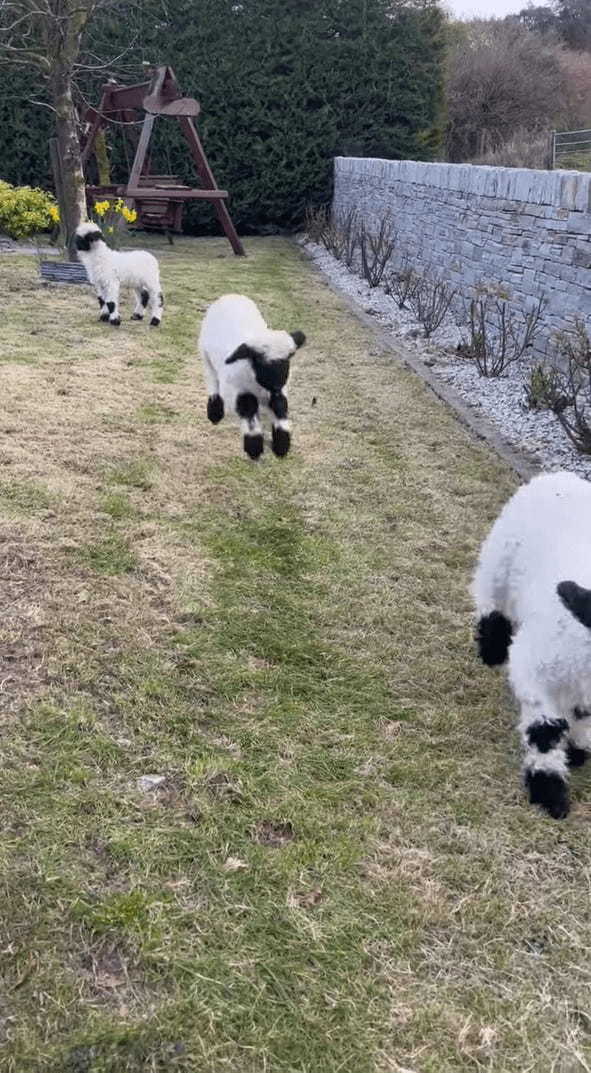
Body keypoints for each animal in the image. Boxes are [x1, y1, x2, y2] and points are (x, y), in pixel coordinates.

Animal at [201, 294, 306, 461]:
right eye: (260, 361)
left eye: (289, 358)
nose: (277, 383)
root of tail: (231, 295)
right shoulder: (235, 388)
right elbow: (248, 408)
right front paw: (254, 446)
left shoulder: (279, 391)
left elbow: (280, 406)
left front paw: (281, 444)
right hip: (205, 355)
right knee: (212, 381)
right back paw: (215, 412)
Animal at [474, 472, 591, 819]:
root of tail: (562, 476)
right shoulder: (535, 669)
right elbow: (545, 729)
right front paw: (549, 790)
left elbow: (580, 718)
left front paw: (576, 751)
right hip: (500, 556)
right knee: (488, 597)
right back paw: (492, 649)